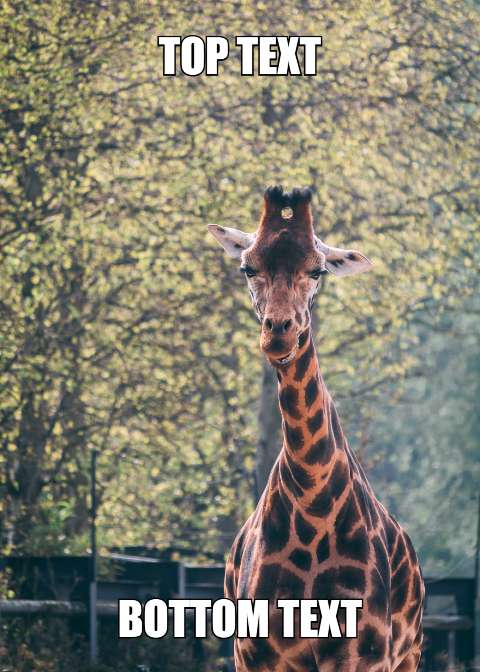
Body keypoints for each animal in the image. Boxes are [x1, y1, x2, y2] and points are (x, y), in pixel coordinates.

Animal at [208, 186, 424, 672]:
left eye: (318, 269)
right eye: (248, 267)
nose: (279, 332)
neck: (312, 501)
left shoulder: (362, 654)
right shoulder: (251, 653)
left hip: (409, 654)